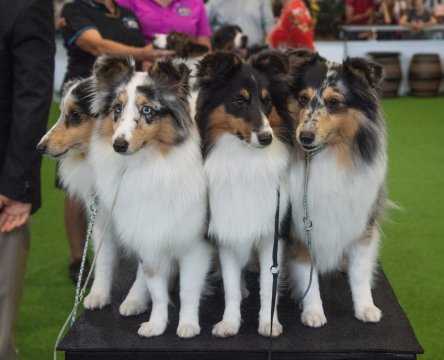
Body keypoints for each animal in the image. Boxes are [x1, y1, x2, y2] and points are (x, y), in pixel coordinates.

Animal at [89, 55, 213, 338]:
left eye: (147, 110)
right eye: (117, 108)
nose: (118, 145)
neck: (147, 164)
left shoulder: (194, 243)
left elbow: (189, 290)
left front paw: (188, 326)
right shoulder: (149, 237)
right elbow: (156, 291)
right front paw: (156, 325)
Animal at [282, 49, 386, 328]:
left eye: (335, 102)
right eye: (303, 98)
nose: (304, 137)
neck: (326, 155)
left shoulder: (361, 222)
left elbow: (360, 272)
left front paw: (366, 307)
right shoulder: (299, 229)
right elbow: (307, 274)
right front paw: (313, 312)